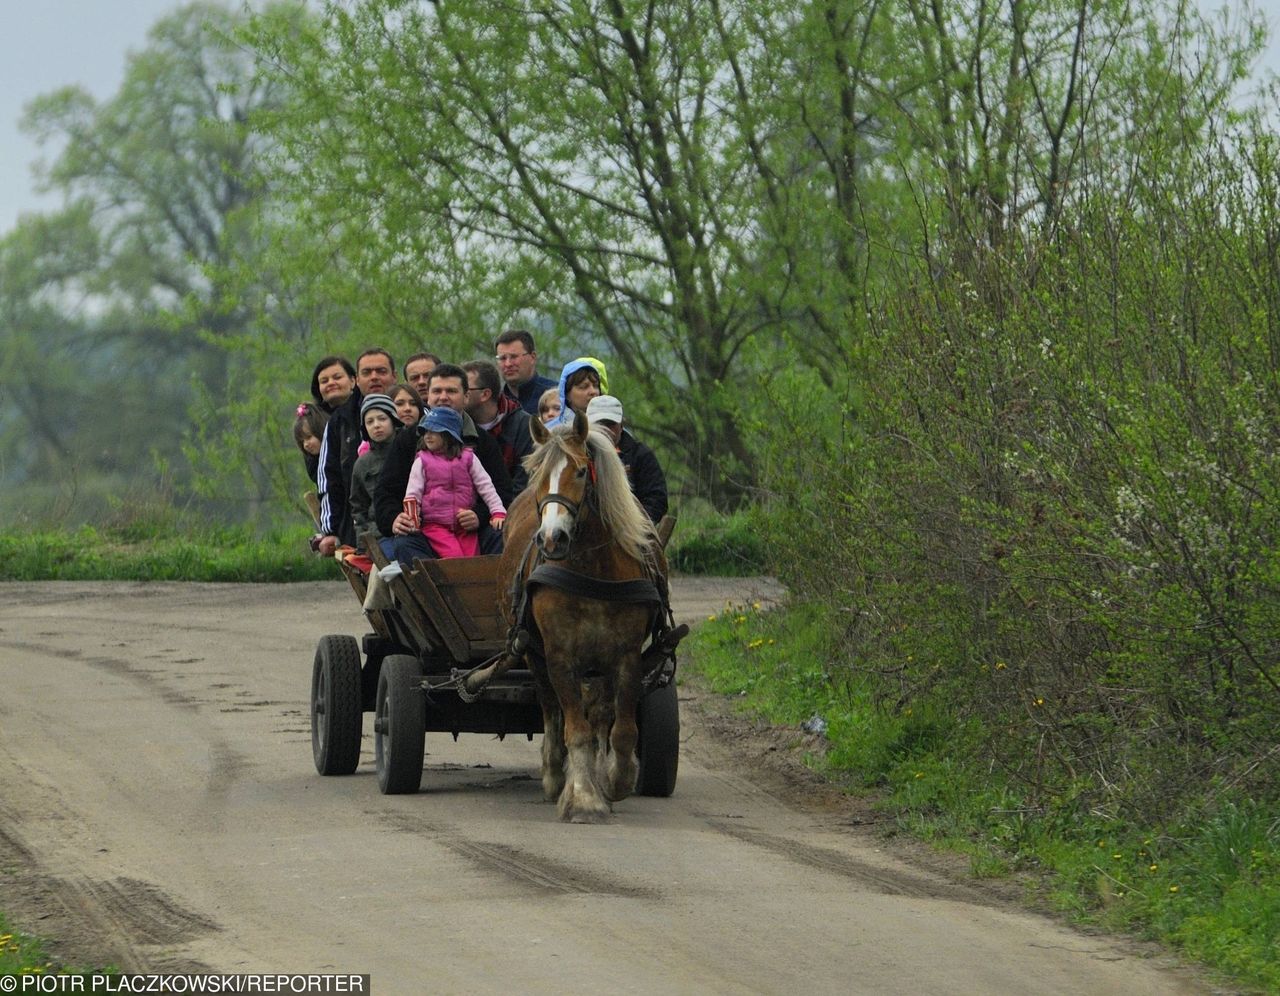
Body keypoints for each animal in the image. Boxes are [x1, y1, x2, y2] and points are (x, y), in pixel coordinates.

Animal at [491, 412, 670, 824]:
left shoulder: (626, 654)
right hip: (533, 652)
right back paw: (555, 773)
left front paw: (615, 780)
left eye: (579, 472)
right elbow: (575, 728)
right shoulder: (559, 655)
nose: (551, 539)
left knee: (601, 713)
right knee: (550, 707)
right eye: (537, 473)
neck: (593, 569)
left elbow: (620, 728)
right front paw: (583, 797)